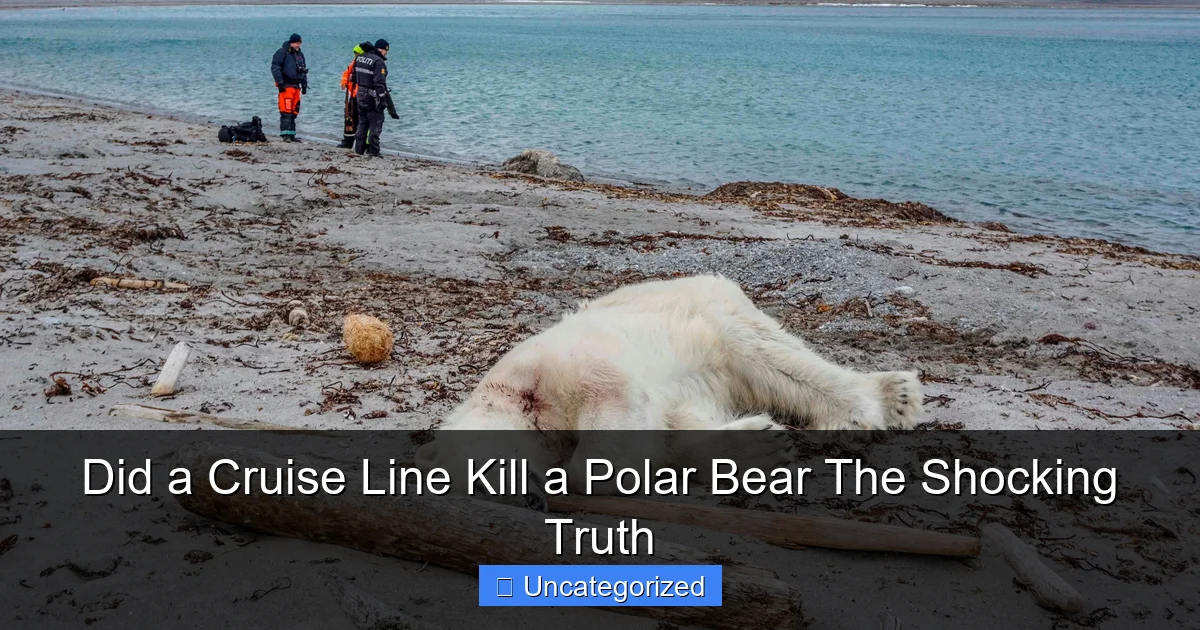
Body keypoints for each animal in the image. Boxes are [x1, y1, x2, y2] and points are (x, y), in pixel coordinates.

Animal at [415, 275, 922, 493]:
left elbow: (614, 397)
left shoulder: (550, 370)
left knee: (772, 358)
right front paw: (760, 444)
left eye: (489, 473)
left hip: (710, 313)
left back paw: (883, 402)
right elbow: (673, 429)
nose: (530, 496)